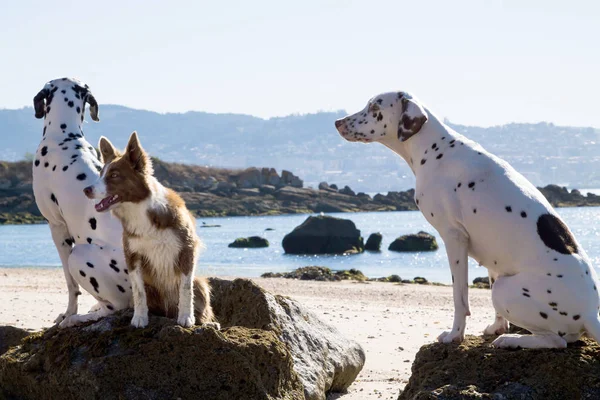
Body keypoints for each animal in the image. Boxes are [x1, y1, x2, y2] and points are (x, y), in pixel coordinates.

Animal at [32, 78, 131, 328]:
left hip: (80, 255)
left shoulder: (57, 226)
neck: (65, 138)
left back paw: (77, 318)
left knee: (117, 307)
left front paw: (68, 313)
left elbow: (70, 284)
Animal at [336, 92, 600, 348]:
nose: (338, 122)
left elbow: (459, 298)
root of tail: (590, 314)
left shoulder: (453, 238)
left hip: (505, 291)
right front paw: (496, 327)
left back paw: (512, 340)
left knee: (556, 340)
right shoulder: (493, 258)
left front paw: (455, 335)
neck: (436, 149)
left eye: (375, 108)